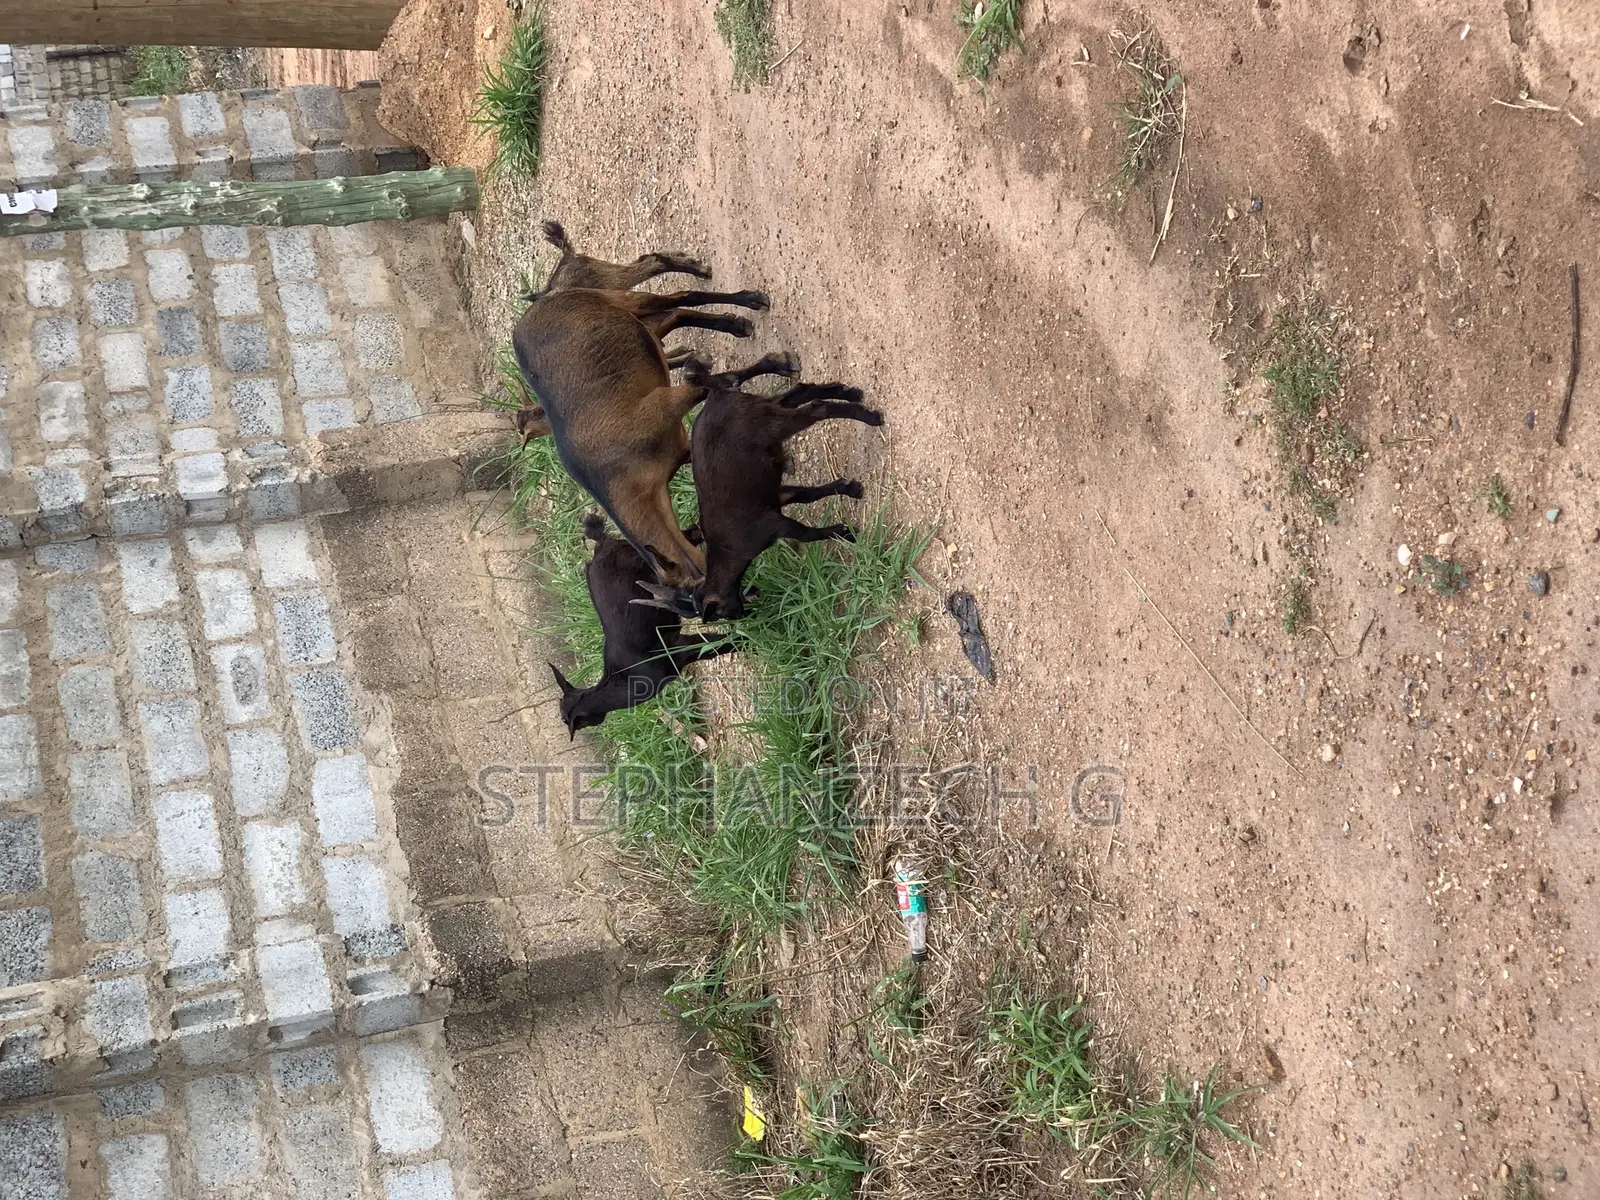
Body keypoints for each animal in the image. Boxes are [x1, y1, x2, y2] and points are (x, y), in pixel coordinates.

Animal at [511, 224, 775, 589]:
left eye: (685, 595)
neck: (619, 475)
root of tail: (546, 296)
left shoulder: (663, 404)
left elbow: (717, 381)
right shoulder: (680, 446)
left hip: (619, 297)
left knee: (678, 295)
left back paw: (745, 304)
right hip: (633, 313)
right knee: (676, 307)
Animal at [550, 514, 734, 737]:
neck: (621, 684)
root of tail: (601, 545)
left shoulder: (677, 649)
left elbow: (716, 645)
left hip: (648, 563)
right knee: (681, 540)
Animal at [666, 360, 883, 622]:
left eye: (718, 615)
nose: (742, 615)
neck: (728, 553)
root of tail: (716, 393)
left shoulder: (772, 526)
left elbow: (806, 534)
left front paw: (846, 533)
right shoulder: (774, 499)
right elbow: (806, 495)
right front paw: (850, 489)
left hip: (770, 424)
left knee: (817, 409)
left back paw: (871, 417)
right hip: (764, 409)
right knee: (799, 392)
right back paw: (851, 393)